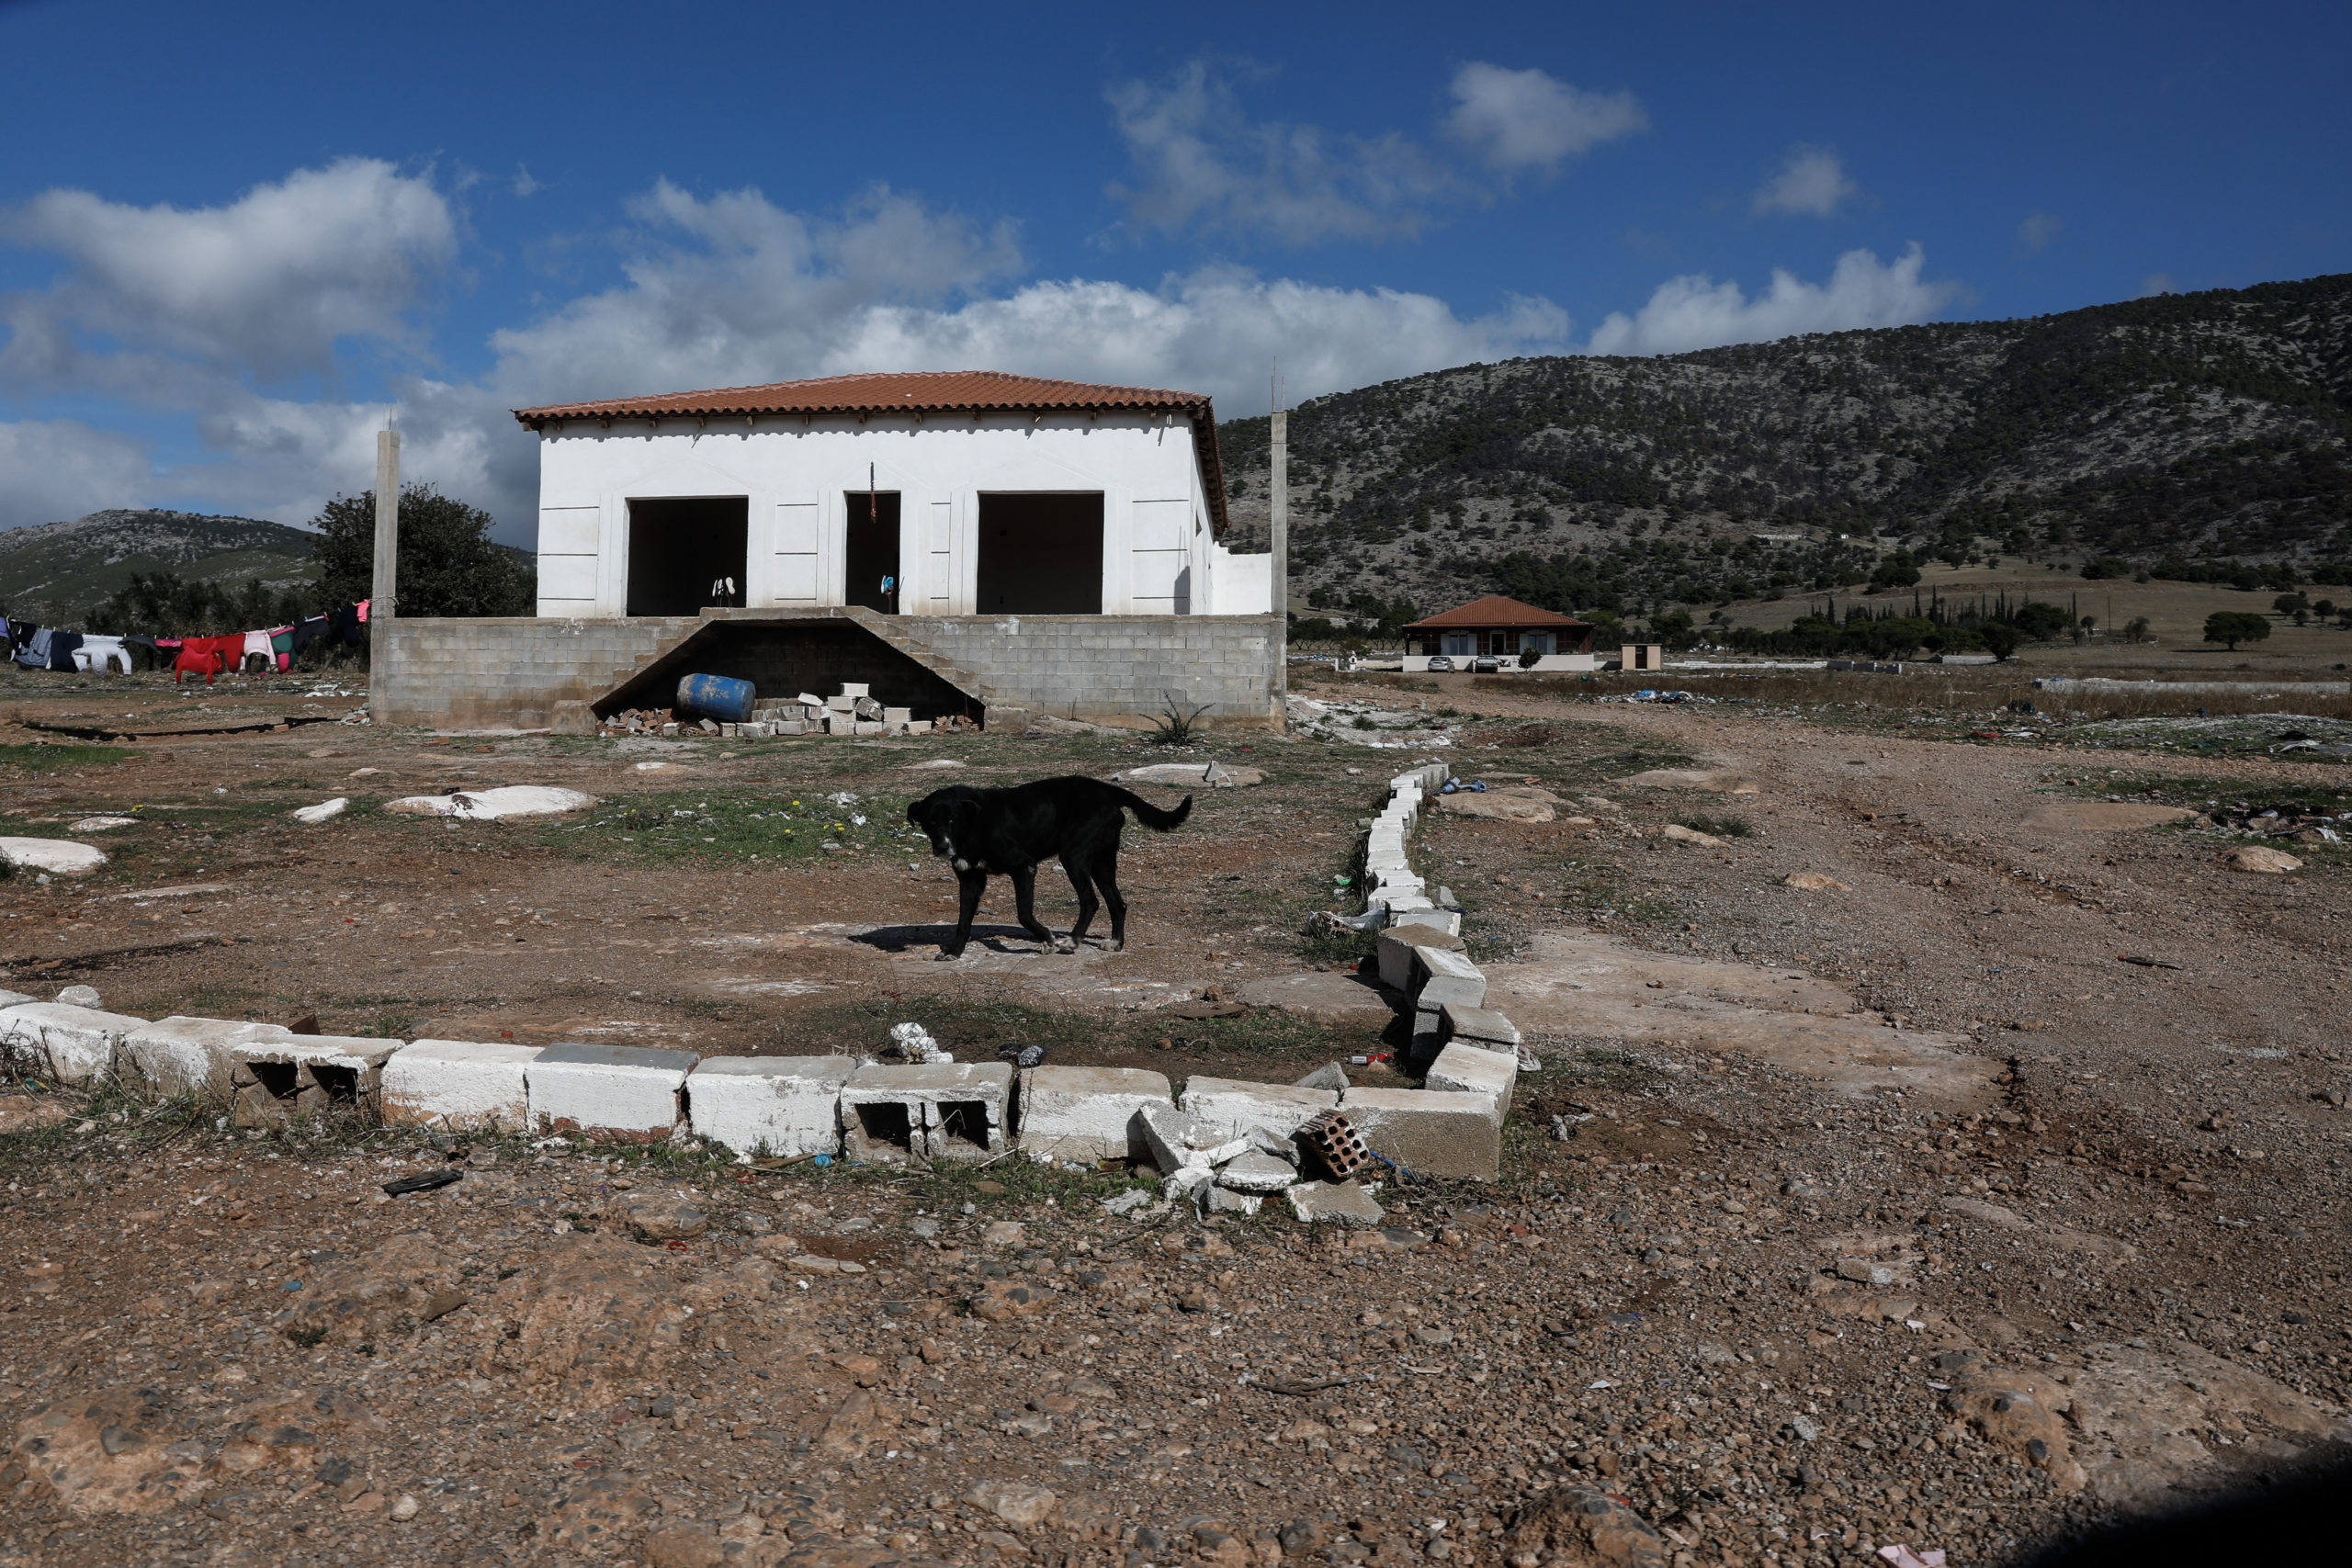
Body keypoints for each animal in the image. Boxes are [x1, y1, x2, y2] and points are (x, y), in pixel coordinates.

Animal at [903, 771, 1194, 959]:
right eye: (930, 822)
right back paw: (1115, 943)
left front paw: (1047, 939)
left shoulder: (1024, 866)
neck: (973, 823)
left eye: (952, 820)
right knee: (1117, 903)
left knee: (1091, 901)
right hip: (1101, 862)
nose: (942, 847)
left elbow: (1023, 913)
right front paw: (954, 951)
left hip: (1073, 855)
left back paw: (1072, 942)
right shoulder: (970, 879)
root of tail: (1104, 789)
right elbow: (963, 920)